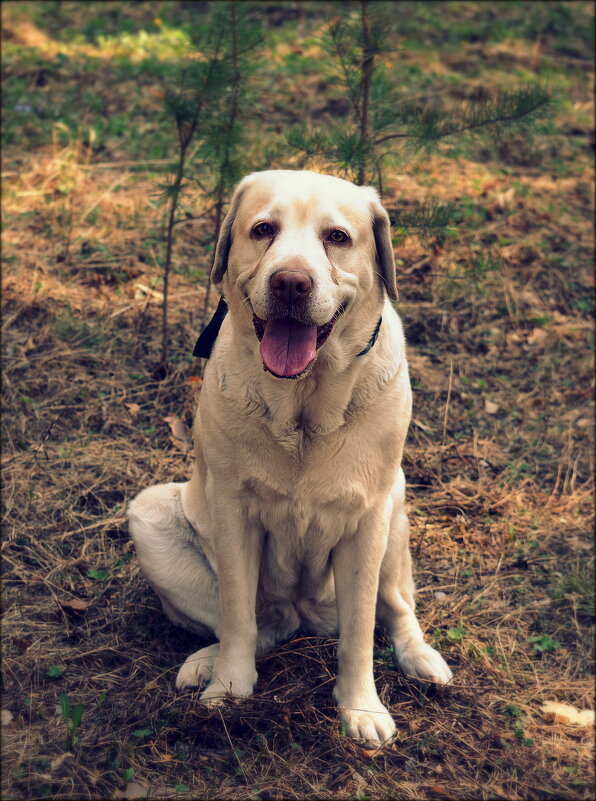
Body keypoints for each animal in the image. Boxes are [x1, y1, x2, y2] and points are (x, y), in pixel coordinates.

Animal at [127, 169, 452, 744]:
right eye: (263, 229)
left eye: (337, 237)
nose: (291, 283)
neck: (303, 406)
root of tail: (303, 615)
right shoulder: (234, 513)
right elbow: (238, 615)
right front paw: (228, 688)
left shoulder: (368, 520)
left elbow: (360, 630)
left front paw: (361, 708)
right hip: (150, 512)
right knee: (258, 624)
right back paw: (206, 662)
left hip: (396, 506)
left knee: (396, 607)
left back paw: (421, 658)